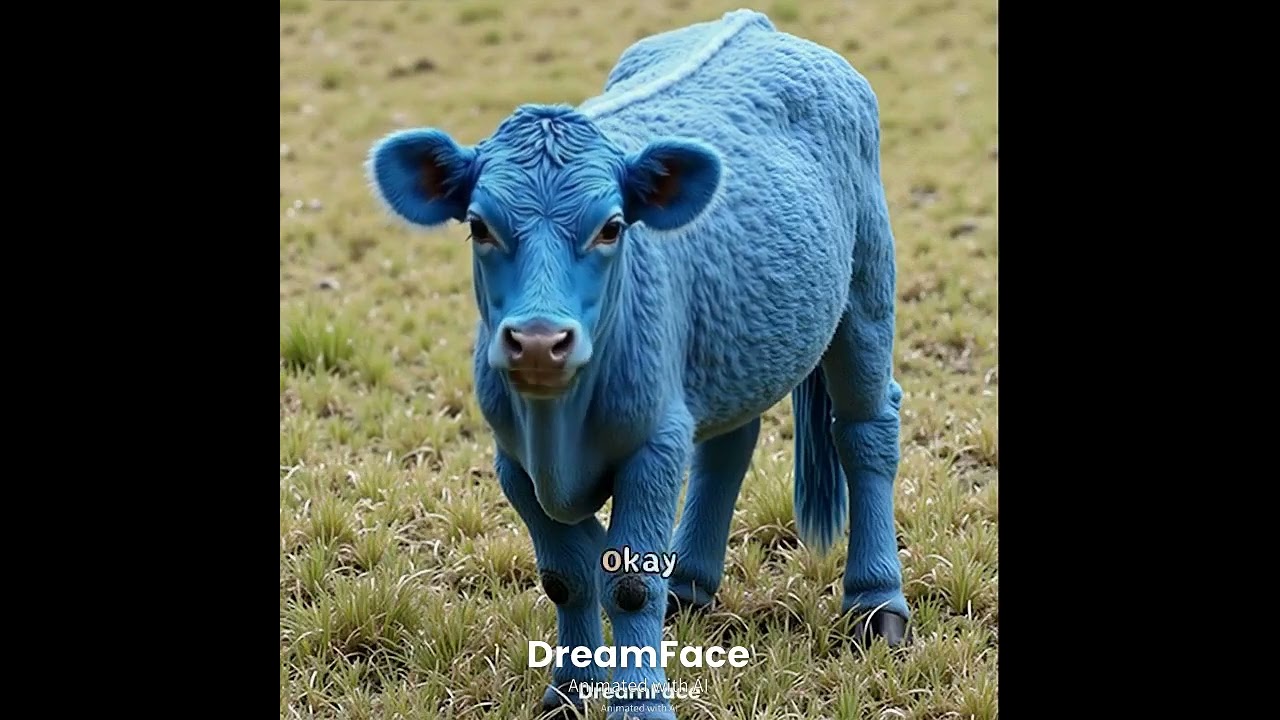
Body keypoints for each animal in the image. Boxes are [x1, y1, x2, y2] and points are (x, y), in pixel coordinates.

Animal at [366, 9, 909, 719]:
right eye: (480, 227)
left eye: (612, 226)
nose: (538, 341)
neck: (557, 428)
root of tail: (756, 22)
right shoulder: (513, 460)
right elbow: (568, 576)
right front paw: (569, 693)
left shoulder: (653, 444)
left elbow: (627, 586)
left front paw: (639, 703)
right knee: (728, 445)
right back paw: (691, 585)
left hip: (866, 291)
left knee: (866, 430)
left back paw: (878, 605)